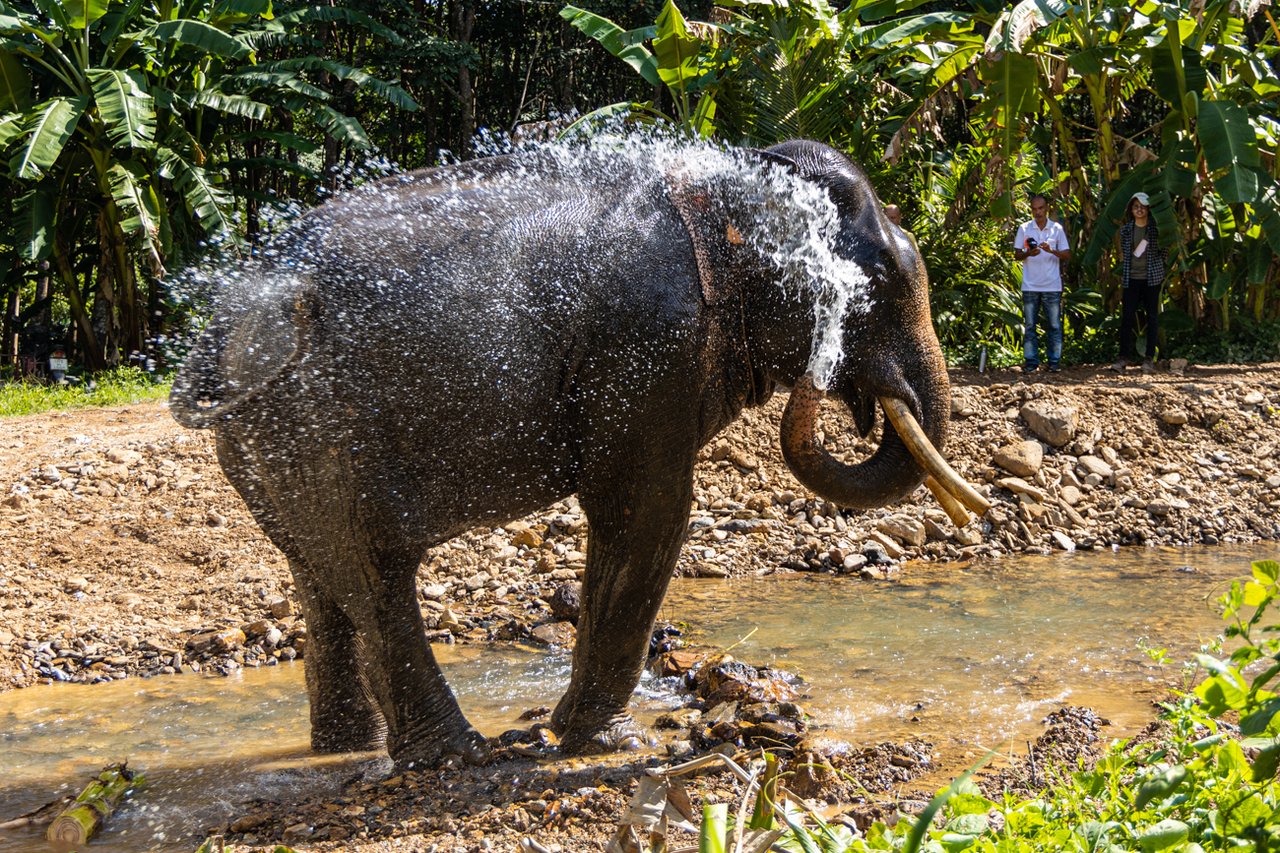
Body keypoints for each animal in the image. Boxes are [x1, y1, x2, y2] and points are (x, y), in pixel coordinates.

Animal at [167, 137, 967, 763]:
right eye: (880, 283)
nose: (828, 379)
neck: (731, 181)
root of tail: (218, 327)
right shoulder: (649, 347)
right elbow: (647, 510)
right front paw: (608, 741)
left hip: (272, 449)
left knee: (320, 577)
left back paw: (345, 749)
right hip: (320, 430)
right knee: (377, 575)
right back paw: (456, 755)